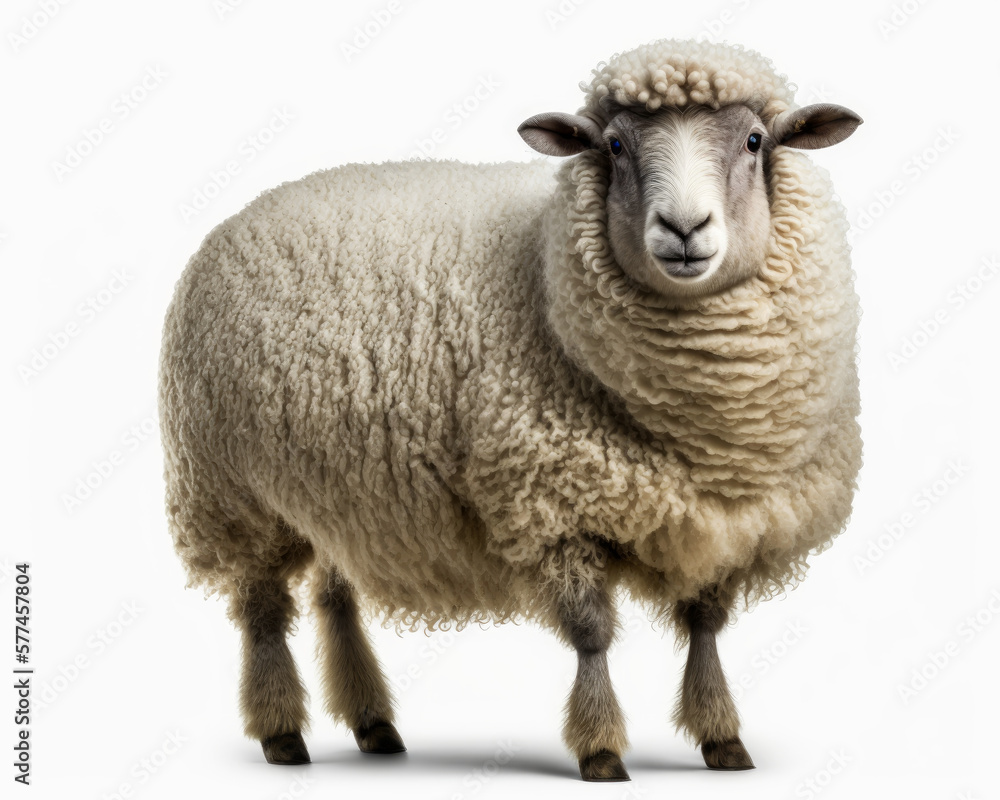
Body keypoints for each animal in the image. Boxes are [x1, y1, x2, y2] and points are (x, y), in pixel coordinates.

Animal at [158, 37, 863, 782]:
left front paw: (721, 737)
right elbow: (590, 632)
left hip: (340, 491)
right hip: (232, 494)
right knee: (263, 612)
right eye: (614, 145)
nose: (684, 228)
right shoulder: (553, 504)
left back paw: (373, 723)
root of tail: (241, 215)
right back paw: (282, 733)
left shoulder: (722, 518)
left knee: (335, 597)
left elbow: (705, 626)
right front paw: (600, 746)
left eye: (755, 141)